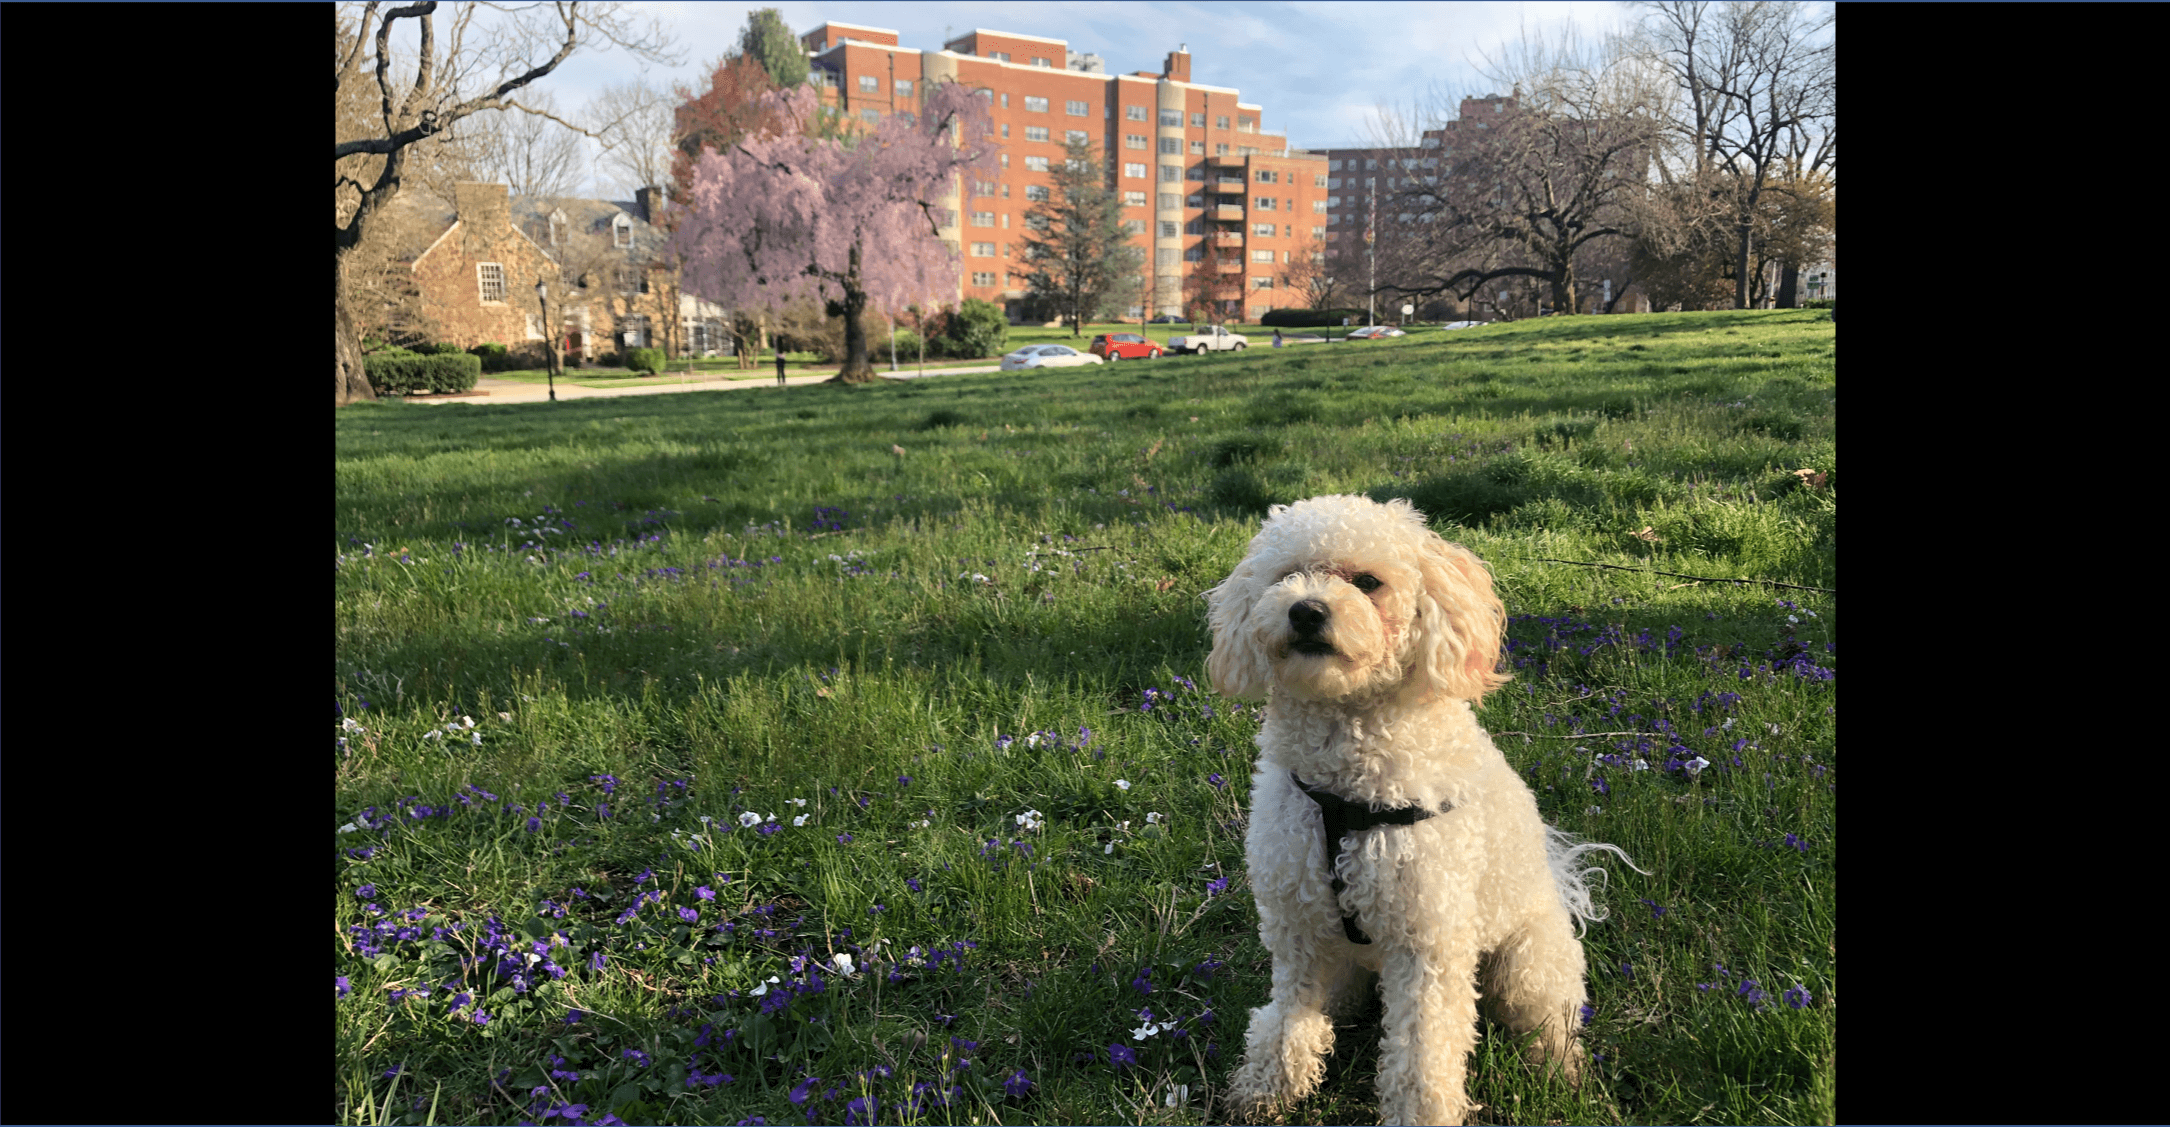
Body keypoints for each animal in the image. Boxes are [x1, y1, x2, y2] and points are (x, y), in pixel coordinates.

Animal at [1207, 495, 1634, 1126]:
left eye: (1368, 582)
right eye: (1285, 576)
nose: (1305, 611)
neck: (1345, 792)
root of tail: (1561, 882)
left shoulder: (1427, 944)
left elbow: (1421, 1053)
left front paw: (1420, 1112)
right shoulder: (1297, 929)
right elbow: (1286, 1019)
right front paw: (1267, 1090)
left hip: (1528, 966)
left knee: (1549, 1022)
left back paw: (1562, 1072)